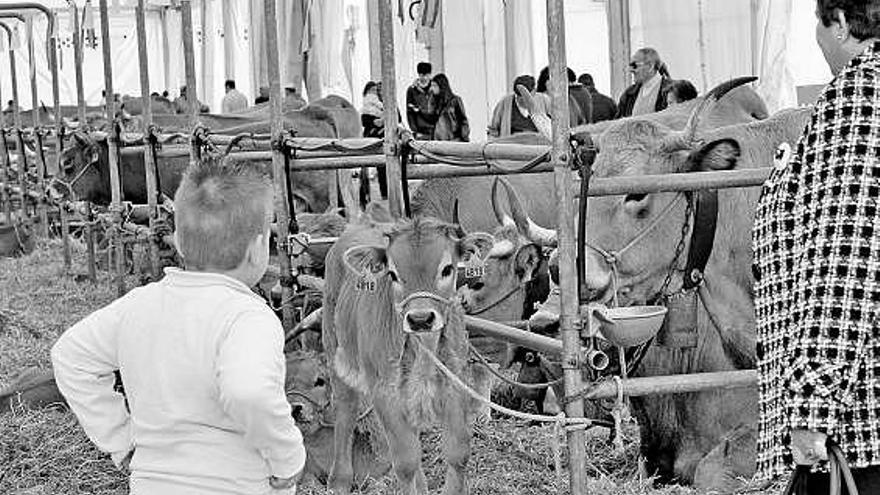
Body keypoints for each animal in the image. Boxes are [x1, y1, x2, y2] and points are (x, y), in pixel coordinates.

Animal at [324, 218, 506, 495]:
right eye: (392, 274)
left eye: (447, 269)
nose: (420, 318)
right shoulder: (384, 393)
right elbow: (405, 462)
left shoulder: (455, 384)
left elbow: (457, 453)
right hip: (336, 352)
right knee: (346, 409)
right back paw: (339, 482)